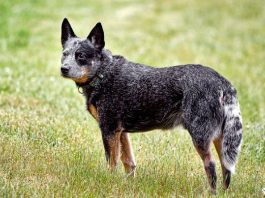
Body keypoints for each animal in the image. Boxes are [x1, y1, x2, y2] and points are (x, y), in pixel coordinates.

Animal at [59, 18, 241, 193]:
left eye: (81, 56)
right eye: (64, 54)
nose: (63, 68)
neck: (102, 74)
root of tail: (222, 82)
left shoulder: (109, 129)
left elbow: (112, 163)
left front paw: (107, 183)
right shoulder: (121, 132)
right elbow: (128, 162)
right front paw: (128, 186)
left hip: (200, 136)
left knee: (211, 165)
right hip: (221, 139)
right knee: (226, 168)